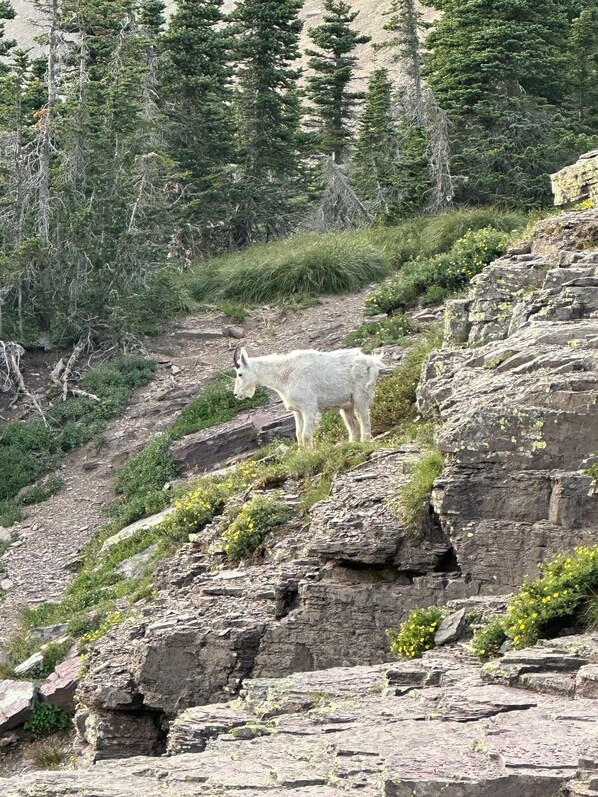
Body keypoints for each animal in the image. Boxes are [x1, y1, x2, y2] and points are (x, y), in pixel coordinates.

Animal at [233, 346, 383, 446]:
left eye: (240, 374)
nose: (236, 394)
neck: (285, 376)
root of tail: (372, 361)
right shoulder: (297, 411)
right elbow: (299, 434)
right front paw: (301, 454)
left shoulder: (308, 407)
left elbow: (305, 435)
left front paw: (310, 453)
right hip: (347, 404)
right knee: (353, 426)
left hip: (360, 396)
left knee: (364, 420)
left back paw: (365, 442)